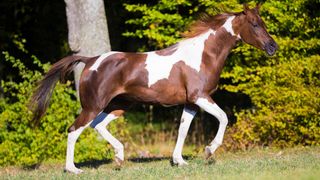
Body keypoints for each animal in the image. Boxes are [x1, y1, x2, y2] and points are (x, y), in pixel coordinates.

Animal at [30, 3, 278, 174]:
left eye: (264, 23)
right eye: (255, 24)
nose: (273, 47)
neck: (203, 56)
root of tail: (90, 60)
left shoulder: (190, 103)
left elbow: (183, 129)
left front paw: (179, 161)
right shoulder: (201, 97)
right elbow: (224, 118)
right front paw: (209, 150)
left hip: (119, 105)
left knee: (98, 125)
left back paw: (119, 157)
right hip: (94, 106)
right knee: (74, 130)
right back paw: (73, 169)